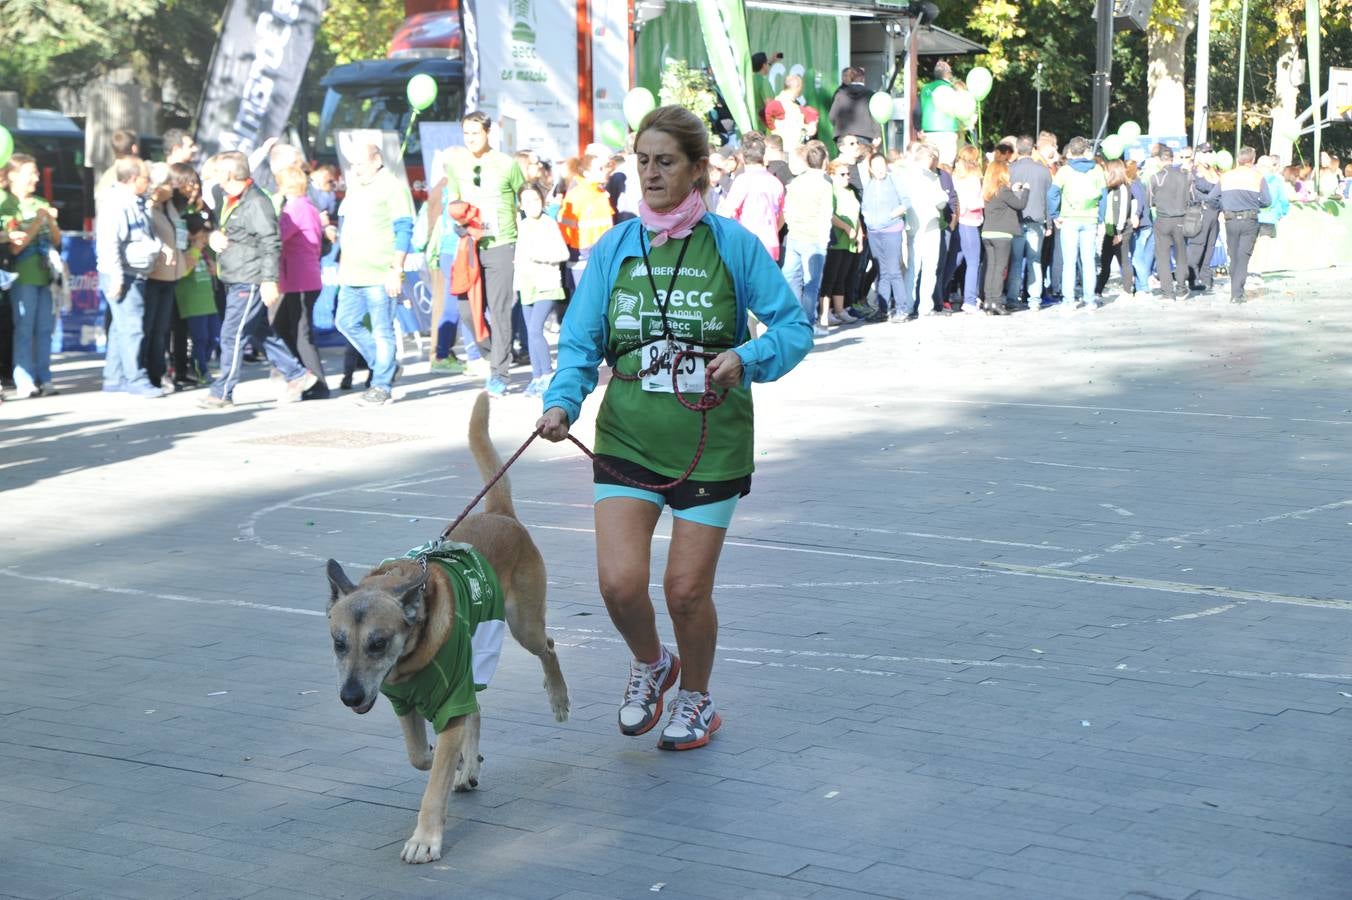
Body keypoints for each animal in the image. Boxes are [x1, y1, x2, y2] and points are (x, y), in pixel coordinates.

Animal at [327, 391, 570, 864]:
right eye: (339, 644)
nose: (349, 697)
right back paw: (468, 765)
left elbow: (433, 780)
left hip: (524, 626)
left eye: (378, 643)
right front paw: (450, 759)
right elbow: (420, 755)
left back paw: (559, 698)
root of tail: (500, 514)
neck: (412, 657)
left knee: (548, 646)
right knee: (477, 710)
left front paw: (425, 837)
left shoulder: (450, 700)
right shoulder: (405, 704)